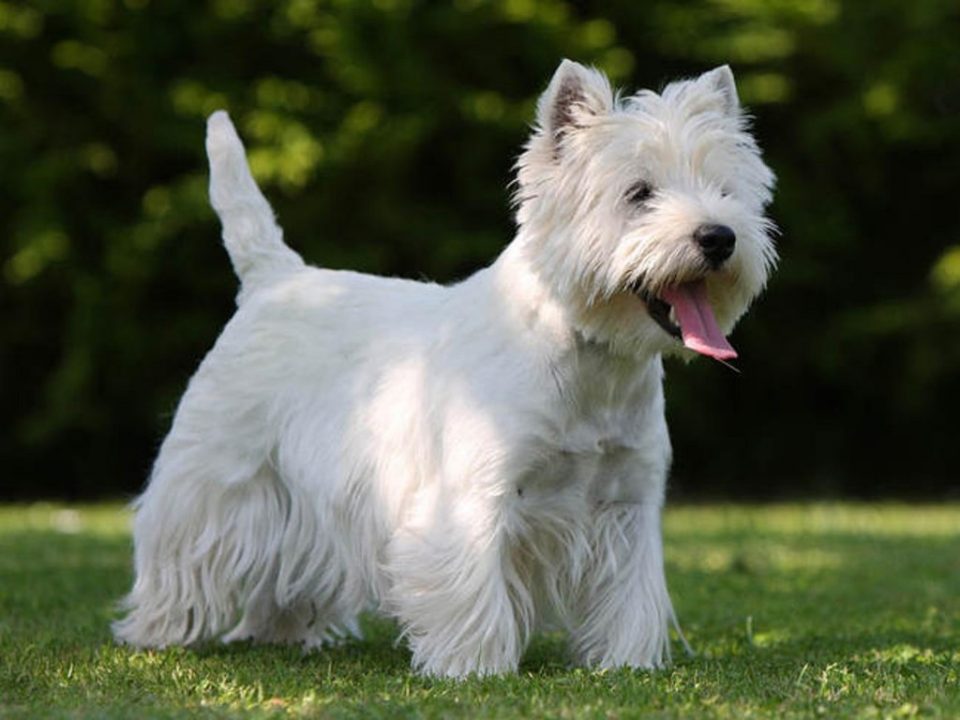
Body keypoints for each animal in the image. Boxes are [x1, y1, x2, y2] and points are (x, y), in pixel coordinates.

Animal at [112, 59, 776, 676]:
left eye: (724, 191)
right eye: (638, 193)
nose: (718, 237)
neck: (591, 363)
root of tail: (275, 277)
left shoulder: (627, 501)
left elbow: (628, 597)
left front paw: (624, 664)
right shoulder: (472, 495)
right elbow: (471, 583)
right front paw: (474, 667)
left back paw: (281, 633)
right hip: (217, 469)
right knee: (181, 546)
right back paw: (159, 631)